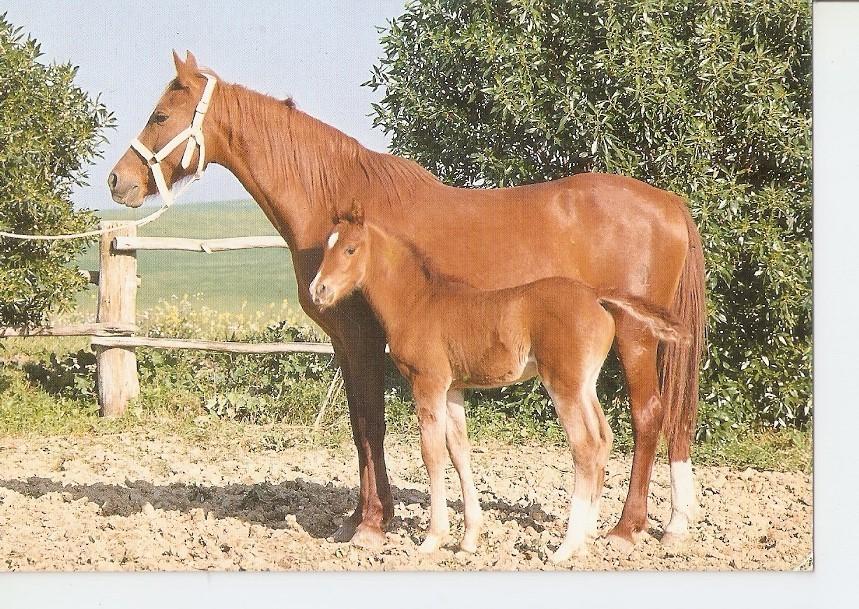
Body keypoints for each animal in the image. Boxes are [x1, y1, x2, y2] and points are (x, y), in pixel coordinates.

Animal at [310, 206, 688, 561]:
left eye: (350, 249)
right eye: (326, 246)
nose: (318, 290)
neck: (417, 302)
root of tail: (595, 296)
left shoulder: (428, 383)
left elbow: (432, 454)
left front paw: (433, 538)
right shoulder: (453, 389)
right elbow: (459, 452)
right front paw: (469, 538)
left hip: (563, 385)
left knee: (585, 446)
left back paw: (566, 547)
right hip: (585, 385)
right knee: (603, 437)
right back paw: (585, 537)